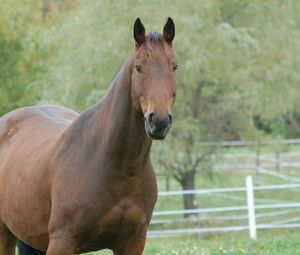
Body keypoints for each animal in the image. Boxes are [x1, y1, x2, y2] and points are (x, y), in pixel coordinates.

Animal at [0, 16, 176, 254]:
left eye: (174, 66)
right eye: (138, 68)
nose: (159, 121)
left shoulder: (133, 242)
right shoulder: (62, 241)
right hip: (5, 234)